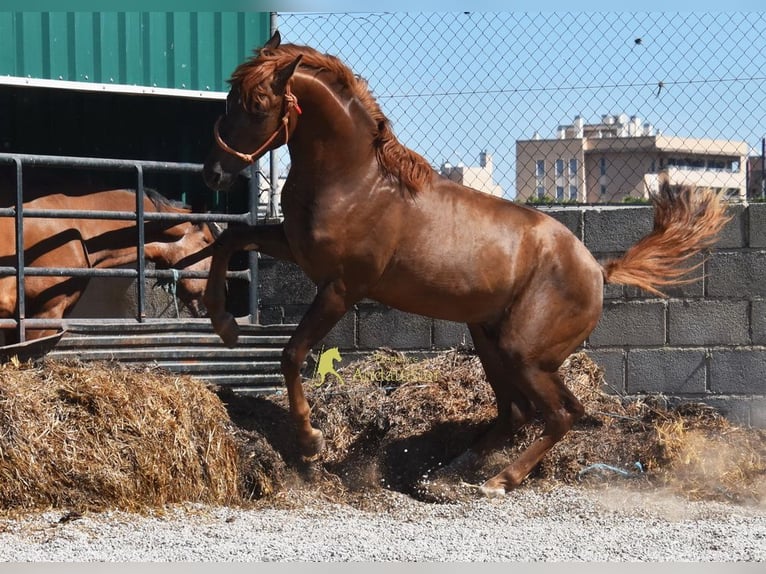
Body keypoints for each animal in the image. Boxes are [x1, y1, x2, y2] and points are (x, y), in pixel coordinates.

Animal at [200, 31, 730, 496]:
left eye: (257, 105)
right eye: (229, 99)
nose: (215, 173)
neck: (355, 180)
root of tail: (598, 270)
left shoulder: (340, 288)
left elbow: (291, 355)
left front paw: (311, 443)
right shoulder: (293, 246)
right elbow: (231, 237)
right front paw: (223, 323)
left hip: (523, 352)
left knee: (561, 413)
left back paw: (499, 481)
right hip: (489, 340)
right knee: (518, 413)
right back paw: (448, 471)